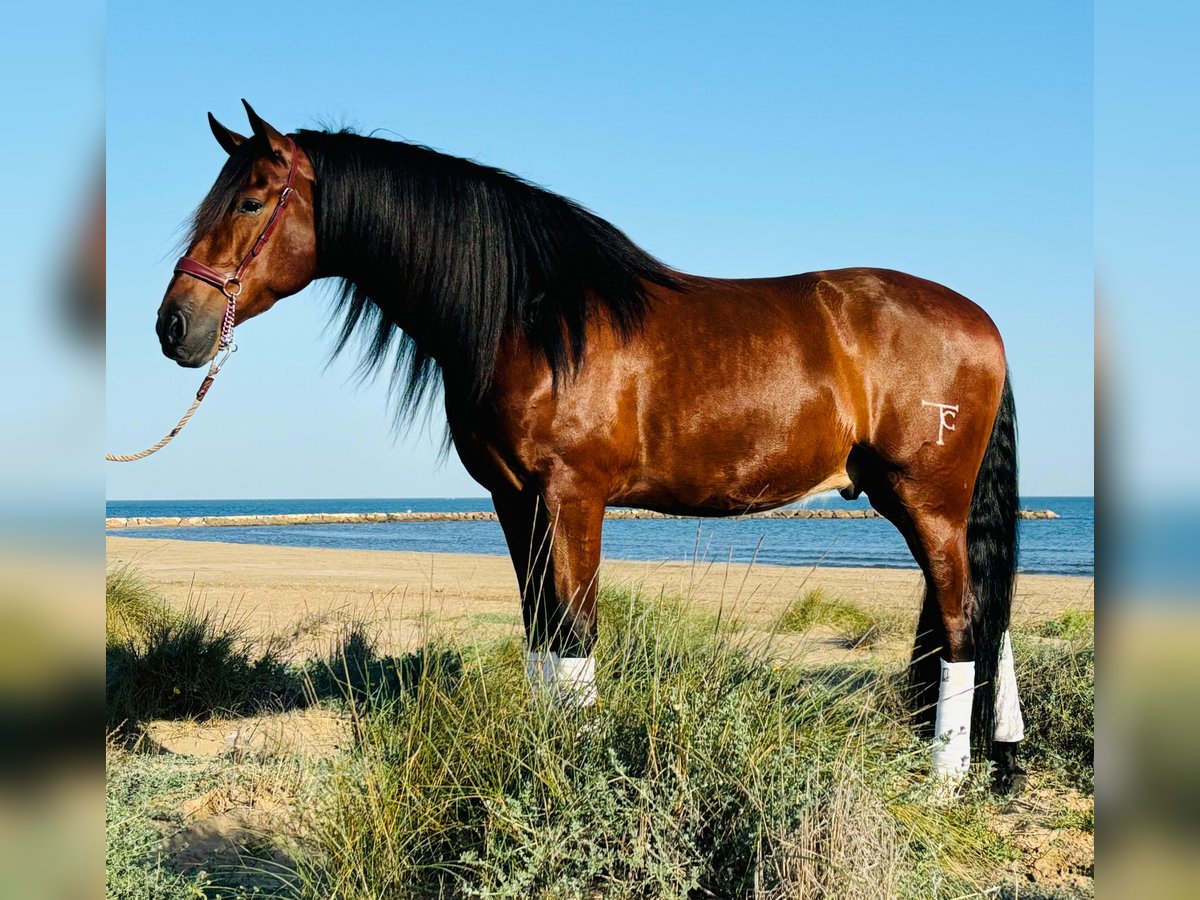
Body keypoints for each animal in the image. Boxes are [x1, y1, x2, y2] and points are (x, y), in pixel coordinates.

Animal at [154, 105, 1027, 792]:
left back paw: (945, 781)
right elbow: (542, 634)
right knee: (980, 618)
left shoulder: (573, 497)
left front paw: (574, 773)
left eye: (252, 199)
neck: (530, 317)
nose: (175, 327)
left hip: (929, 502)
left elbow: (575, 636)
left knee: (962, 624)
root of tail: (983, 322)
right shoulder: (514, 501)